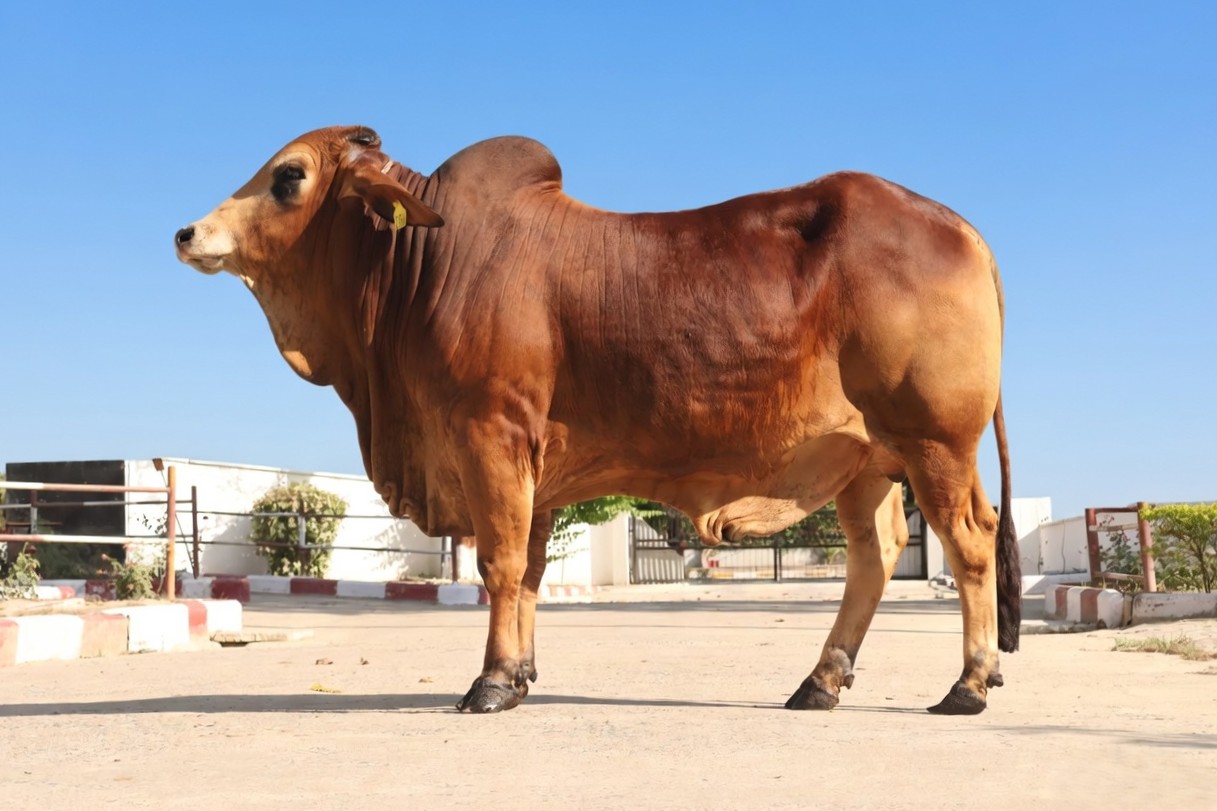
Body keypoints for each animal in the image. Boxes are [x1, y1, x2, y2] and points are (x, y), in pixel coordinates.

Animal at [175, 125, 1020, 715]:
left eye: (289, 176)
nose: (188, 232)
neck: (421, 265)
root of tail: (960, 228)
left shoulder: (490, 433)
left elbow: (499, 565)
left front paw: (490, 681)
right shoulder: (534, 468)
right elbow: (530, 573)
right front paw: (520, 673)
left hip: (934, 440)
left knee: (970, 542)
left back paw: (969, 682)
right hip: (865, 459)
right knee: (875, 557)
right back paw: (819, 681)